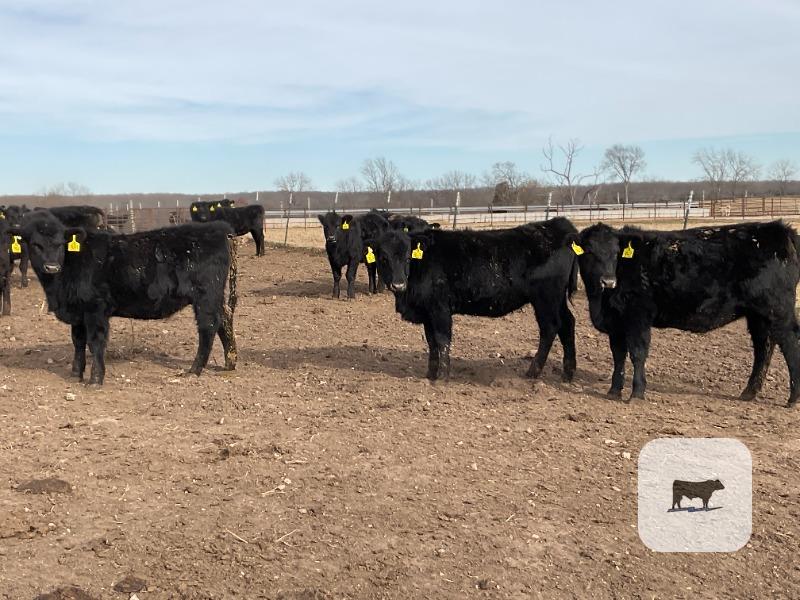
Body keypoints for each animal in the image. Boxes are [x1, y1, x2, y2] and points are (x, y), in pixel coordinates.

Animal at [12, 211, 238, 385]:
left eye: (60, 243)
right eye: (35, 244)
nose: (51, 266)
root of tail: (218, 228)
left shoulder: (95, 308)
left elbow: (95, 342)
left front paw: (95, 379)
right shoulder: (77, 310)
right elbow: (78, 341)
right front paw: (76, 373)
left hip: (206, 295)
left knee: (208, 327)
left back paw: (195, 370)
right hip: (214, 296)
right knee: (225, 320)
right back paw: (229, 362)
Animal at [371, 217, 579, 381]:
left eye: (407, 257)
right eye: (383, 258)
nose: (398, 284)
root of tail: (556, 225)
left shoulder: (440, 308)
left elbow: (442, 340)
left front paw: (442, 376)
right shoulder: (427, 312)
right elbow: (431, 343)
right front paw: (430, 375)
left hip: (546, 299)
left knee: (550, 328)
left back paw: (532, 372)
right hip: (557, 299)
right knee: (567, 324)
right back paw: (568, 373)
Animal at [573, 221, 800, 407]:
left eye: (615, 253)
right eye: (589, 252)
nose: (608, 281)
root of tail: (781, 230)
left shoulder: (638, 317)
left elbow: (637, 353)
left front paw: (636, 393)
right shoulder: (616, 323)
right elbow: (618, 355)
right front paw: (613, 390)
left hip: (778, 311)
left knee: (790, 344)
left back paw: (793, 398)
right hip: (758, 315)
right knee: (764, 348)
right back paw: (749, 393)